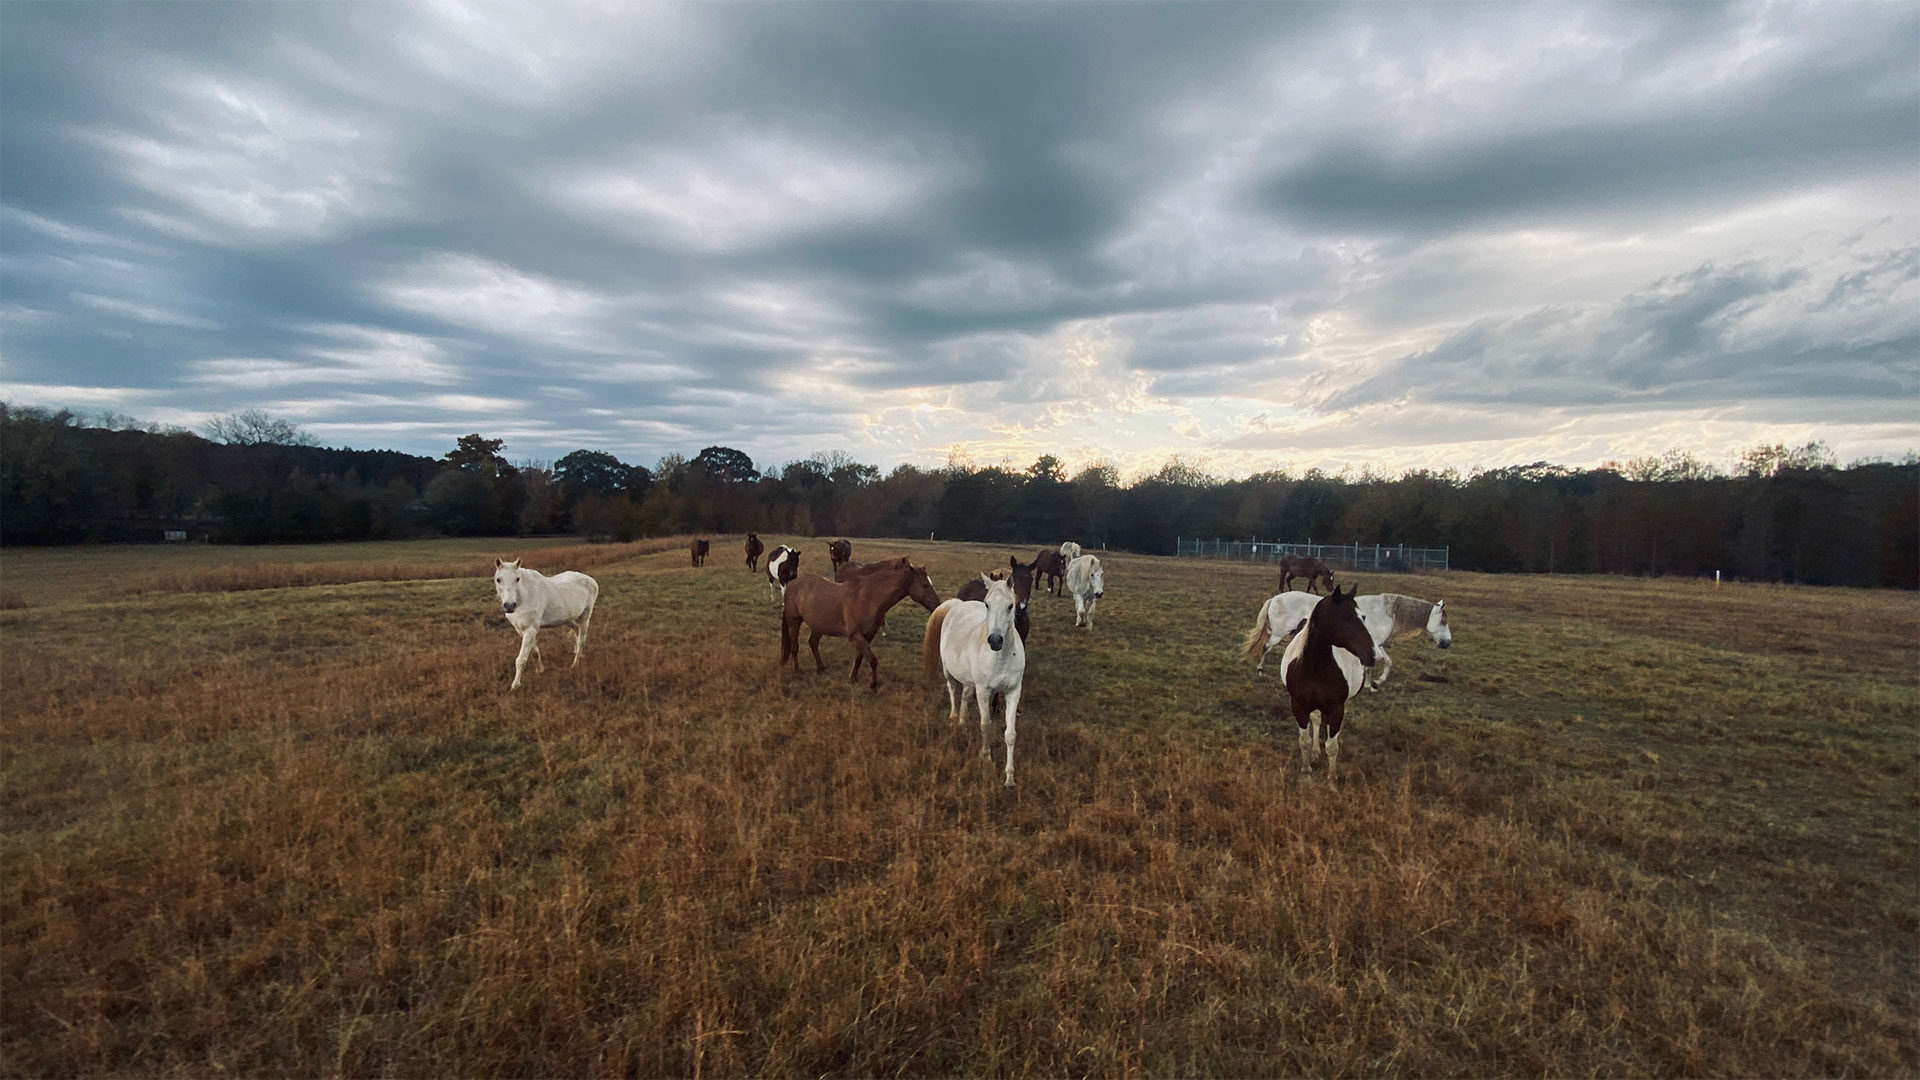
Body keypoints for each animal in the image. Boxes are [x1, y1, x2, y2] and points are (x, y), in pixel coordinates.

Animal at [491, 558, 599, 691]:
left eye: (517, 579)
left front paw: (515, 685)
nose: (509, 606)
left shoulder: (530, 629)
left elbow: (521, 659)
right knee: (576, 631)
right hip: (569, 619)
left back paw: (575, 664)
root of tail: (591, 580)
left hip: (585, 618)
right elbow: (534, 651)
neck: (524, 597)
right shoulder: (521, 630)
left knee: (581, 640)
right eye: (498, 579)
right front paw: (540, 670)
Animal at [781, 556, 940, 690]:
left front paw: (853, 678)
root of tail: (792, 584)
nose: (938, 605)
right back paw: (797, 671)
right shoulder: (855, 636)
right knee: (794, 646)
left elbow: (860, 657)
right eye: (925, 585)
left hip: (819, 626)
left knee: (813, 643)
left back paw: (821, 668)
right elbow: (873, 660)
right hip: (794, 622)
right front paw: (873, 685)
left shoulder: (867, 636)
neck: (868, 598)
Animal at [924, 576, 1026, 788]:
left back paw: (962, 724)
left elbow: (1010, 734)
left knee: (965, 695)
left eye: (1010, 605)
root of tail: (958, 604)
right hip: (948, 671)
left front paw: (1010, 778)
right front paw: (986, 760)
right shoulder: (983, 691)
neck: (1001, 657)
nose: (995, 640)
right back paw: (954, 718)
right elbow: (985, 725)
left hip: (969, 680)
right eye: (987, 604)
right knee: (953, 690)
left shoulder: (1013, 692)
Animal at [1241, 591, 1451, 688]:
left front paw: (1376, 682)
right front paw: (1369, 684)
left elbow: (1387, 662)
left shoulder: (1377, 645)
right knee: (1265, 647)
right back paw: (1260, 670)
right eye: (1443, 621)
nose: (1447, 643)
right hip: (1278, 635)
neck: (1385, 612)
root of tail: (1275, 598)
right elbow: (1372, 665)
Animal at [1278, 584, 1378, 781]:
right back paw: (1316, 752)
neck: (1314, 668)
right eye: (1346, 617)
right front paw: (1306, 771)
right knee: (1316, 720)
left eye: (1363, 617)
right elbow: (1305, 741)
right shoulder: (1298, 706)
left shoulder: (1336, 708)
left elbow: (1332, 747)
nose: (1373, 655)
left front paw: (1332, 778)